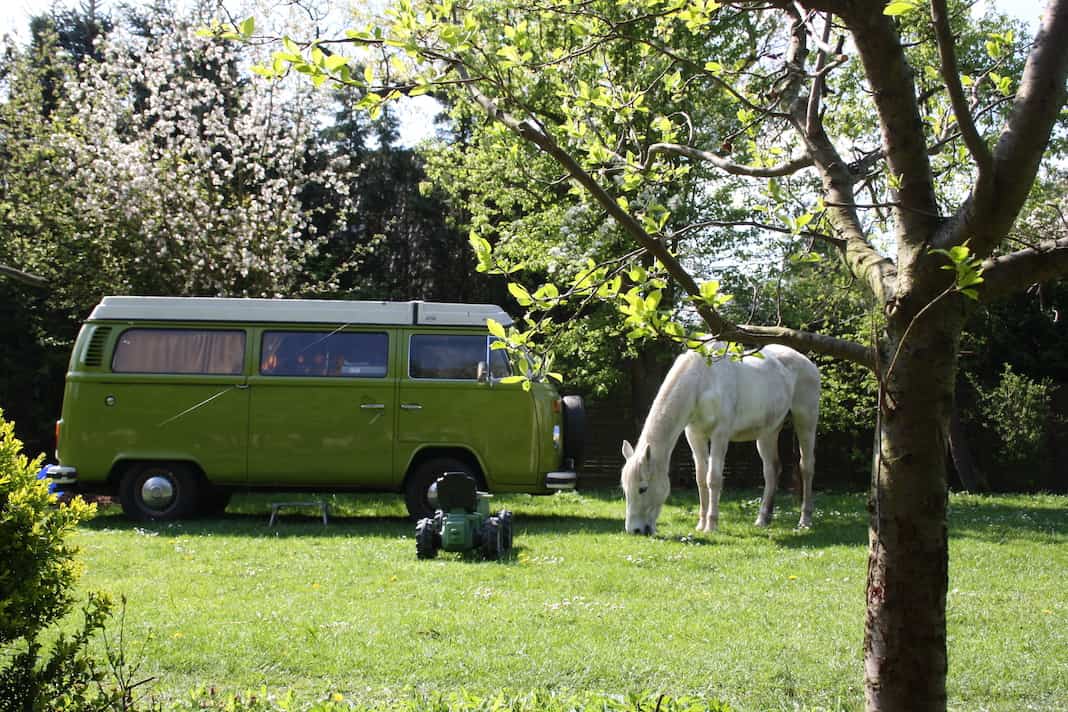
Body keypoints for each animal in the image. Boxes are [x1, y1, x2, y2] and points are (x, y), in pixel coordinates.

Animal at [620, 345, 820, 535]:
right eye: (625, 489)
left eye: (643, 488)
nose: (635, 530)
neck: (702, 379)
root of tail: (808, 363)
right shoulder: (695, 435)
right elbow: (701, 478)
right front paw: (701, 524)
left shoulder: (720, 435)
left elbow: (713, 479)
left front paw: (711, 525)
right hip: (768, 432)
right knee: (771, 470)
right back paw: (762, 520)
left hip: (806, 421)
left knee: (807, 466)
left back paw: (805, 521)